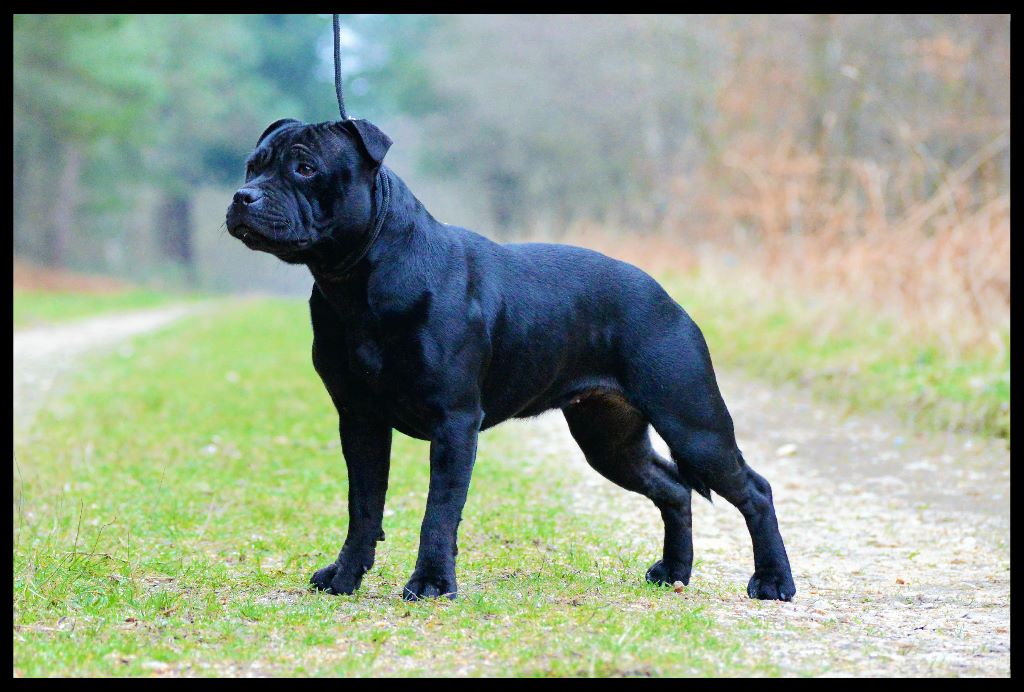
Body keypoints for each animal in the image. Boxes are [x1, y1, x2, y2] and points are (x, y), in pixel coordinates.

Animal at [228, 117, 794, 601]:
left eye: (305, 168)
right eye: (253, 165)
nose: (242, 196)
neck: (358, 279)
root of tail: (666, 296)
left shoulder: (453, 421)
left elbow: (439, 512)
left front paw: (432, 584)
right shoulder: (360, 420)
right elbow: (363, 508)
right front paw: (345, 578)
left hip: (693, 422)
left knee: (755, 489)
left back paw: (773, 582)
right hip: (610, 440)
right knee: (674, 489)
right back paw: (674, 573)